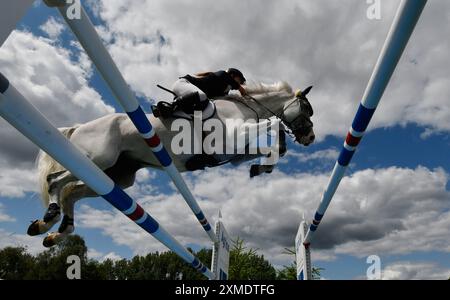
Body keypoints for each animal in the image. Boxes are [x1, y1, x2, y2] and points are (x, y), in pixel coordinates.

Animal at [28, 81, 314, 246]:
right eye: (306, 109)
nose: (310, 138)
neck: (245, 109)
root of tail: (79, 127)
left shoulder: (233, 150)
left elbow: (266, 146)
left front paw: (261, 167)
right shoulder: (231, 137)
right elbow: (274, 123)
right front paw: (270, 155)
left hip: (115, 177)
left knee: (72, 193)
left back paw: (53, 231)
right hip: (98, 158)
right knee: (55, 182)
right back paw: (50, 217)